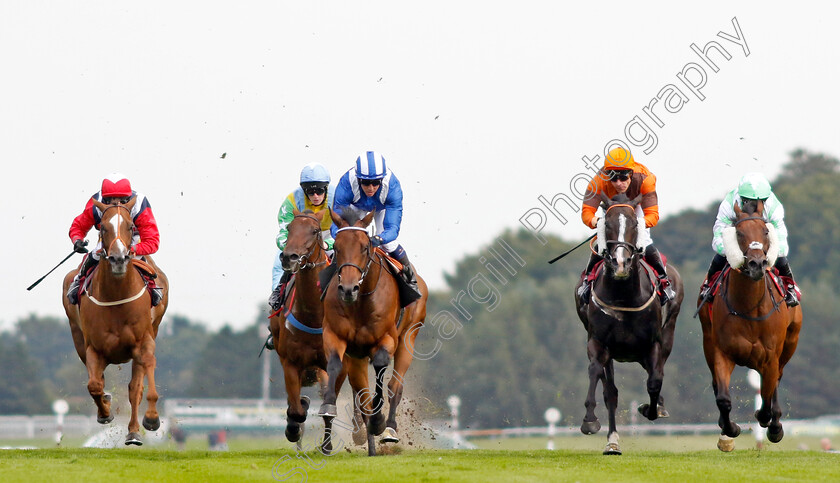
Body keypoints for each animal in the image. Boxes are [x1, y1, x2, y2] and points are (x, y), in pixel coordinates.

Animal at [61, 198, 171, 446]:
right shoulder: (93, 348)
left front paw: (151, 418)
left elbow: (141, 383)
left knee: (134, 388)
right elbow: (94, 385)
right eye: (103, 228)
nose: (119, 259)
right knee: (98, 381)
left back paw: (133, 431)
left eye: (131, 226)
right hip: (78, 338)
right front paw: (105, 412)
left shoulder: (144, 341)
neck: (116, 296)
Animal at [268, 208, 362, 454]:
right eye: (290, 228)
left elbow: (329, 407)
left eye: (314, 230)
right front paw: (293, 428)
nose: (289, 257)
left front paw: (327, 446)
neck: (313, 313)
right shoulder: (290, 362)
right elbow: (296, 409)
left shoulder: (336, 363)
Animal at [318, 210, 430, 456]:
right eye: (337, 247)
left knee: (395, 386)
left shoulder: (386, 338)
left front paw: (378, 422)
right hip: (357, 358)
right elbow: (334, 365)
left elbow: (380, 366)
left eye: (364, 247)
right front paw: (328, 406)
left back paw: (389, 429)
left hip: (409, 337)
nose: (348, 289)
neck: (360, 302)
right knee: (362, 394)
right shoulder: (335, 336)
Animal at [576, 193, 684, 454]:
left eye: (635, 224)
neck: (623, 294)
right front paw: (590, 420)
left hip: (668, 331)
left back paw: (658, 405)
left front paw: (651, 408)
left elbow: (655, 381)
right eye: (607, 224)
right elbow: (598, 376)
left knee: (658, 370)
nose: (620, 263)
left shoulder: (652, 343)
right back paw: (612, 441)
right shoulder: (598, 342)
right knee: (611, 392)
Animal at [692, 200, 804, 454]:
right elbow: (723, 398)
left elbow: (766, 398)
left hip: (790, 344)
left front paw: (771, 425)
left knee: (777, 380)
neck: (749, 307)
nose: (756, 264)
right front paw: (730, 430)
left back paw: (775, 425)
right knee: (717, 384)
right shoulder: (722, 352)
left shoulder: (770, 357)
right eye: (739, 232)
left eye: (765, 231)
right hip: (707, 341)